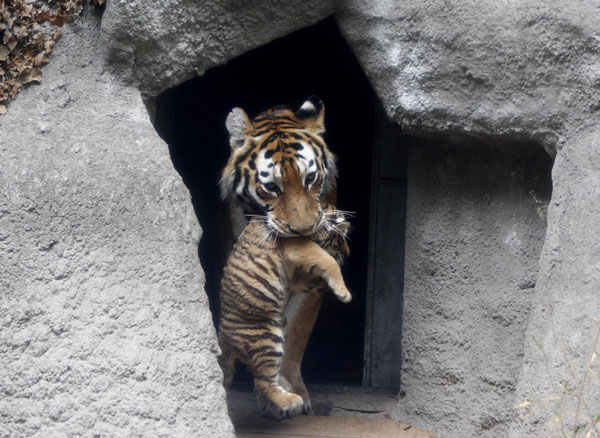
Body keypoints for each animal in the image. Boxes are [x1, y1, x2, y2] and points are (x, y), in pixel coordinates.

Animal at [219, 97, 342, 420]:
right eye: (271, 187)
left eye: (310, 178)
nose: (303, 230)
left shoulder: (311, 287)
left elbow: (296, 332)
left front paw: (290, 390)